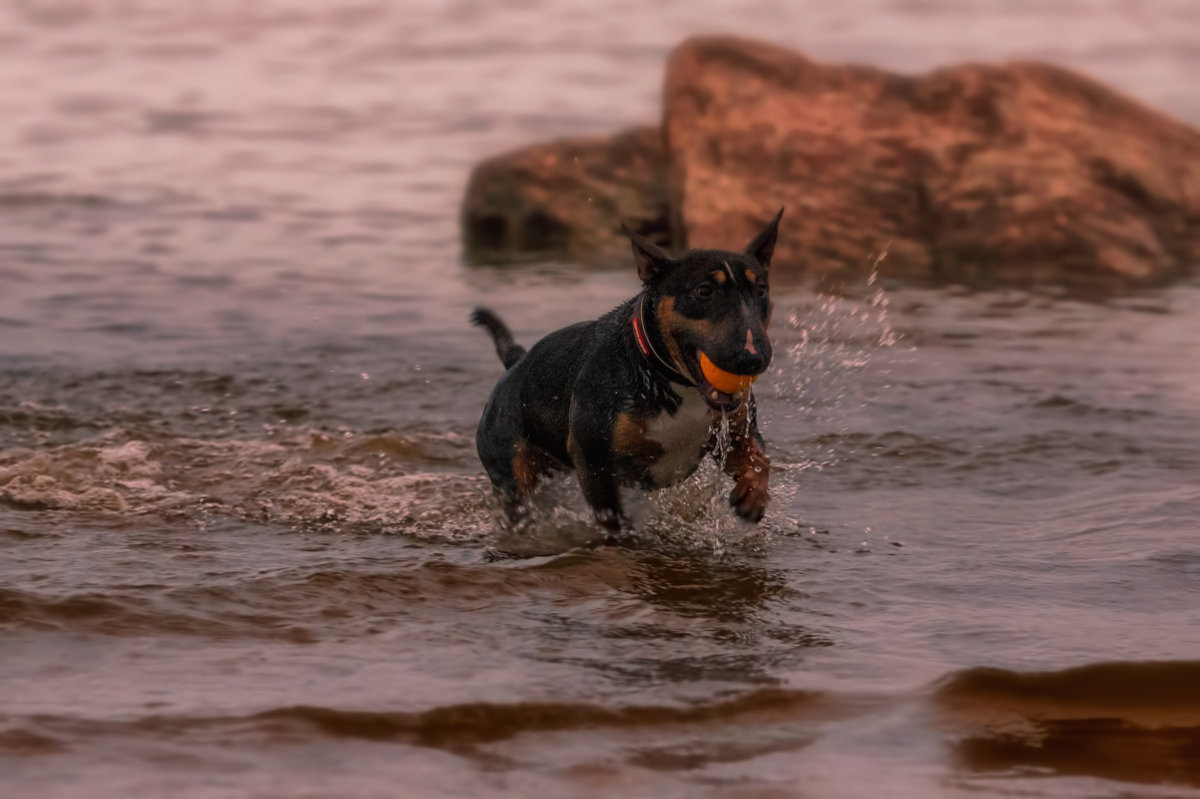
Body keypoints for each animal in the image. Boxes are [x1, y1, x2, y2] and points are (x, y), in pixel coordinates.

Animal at [468, 208, 777, 532]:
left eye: (761, 290)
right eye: (705, 291)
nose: (754, 357)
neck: (671, 379)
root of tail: (515, 363)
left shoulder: (736, 434)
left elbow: (759, 460)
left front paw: (753, 495)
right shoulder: (592, 456)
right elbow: (610, 513)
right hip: (512, 471)